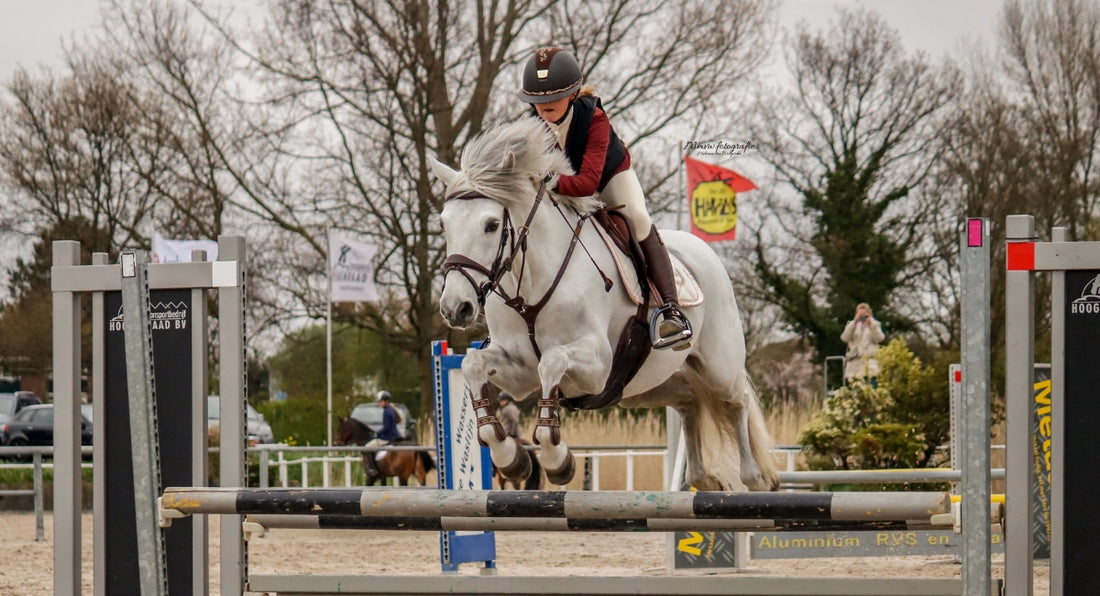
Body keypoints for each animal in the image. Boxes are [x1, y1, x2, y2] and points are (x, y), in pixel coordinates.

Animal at [431, 118, 781, 493]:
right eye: (444, 224)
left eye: (492, 225)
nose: (455, 308)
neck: (532, 285)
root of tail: (704, 250)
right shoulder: (519, 370)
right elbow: (473, 365)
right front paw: (512, 459)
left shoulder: (597, 365)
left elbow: (552, 361)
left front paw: (556, 459)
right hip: (647, 385)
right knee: (689, 401)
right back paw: (704, 478)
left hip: (718, 365)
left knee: (737, 401)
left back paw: (754, 477)